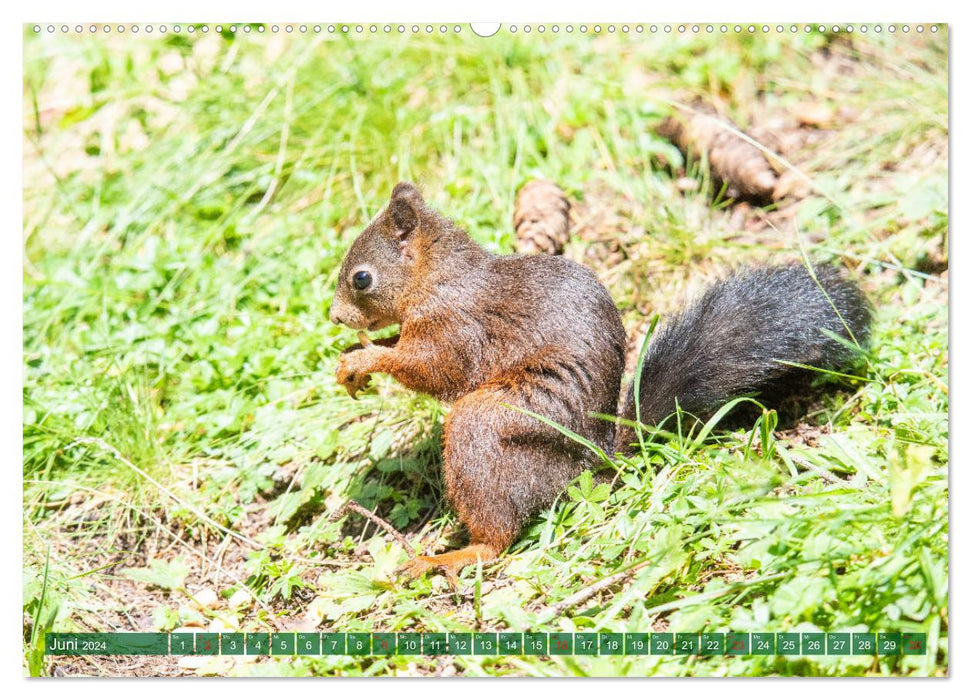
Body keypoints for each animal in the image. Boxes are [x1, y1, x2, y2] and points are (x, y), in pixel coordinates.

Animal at [328, 182, 872, 584]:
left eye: (361, 278)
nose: (334, 317)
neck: (437, 277)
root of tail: (599, 464)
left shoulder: (457, 327)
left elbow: (433, 367)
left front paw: (368, 358)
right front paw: (354, 356)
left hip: (484, 430)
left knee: (497, 536)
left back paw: (452, 556)